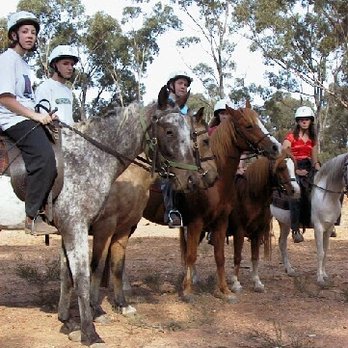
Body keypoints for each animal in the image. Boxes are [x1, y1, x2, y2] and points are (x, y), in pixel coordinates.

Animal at [230, 152, 294, 294]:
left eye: (294, 166)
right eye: (281, 167)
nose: (294, 190)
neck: (251, 195)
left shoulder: (257, 232)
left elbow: (255, 256)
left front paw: (257, 282)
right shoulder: (239, 231)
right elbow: (238, 256)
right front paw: (236, 283)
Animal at [272, 153, 348, 282]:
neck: (326, 196)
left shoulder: (328, 228)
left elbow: (325, 251)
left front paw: (324, 274)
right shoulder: (318, 228)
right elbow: (320, 252)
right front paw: (320, 278)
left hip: (284, 223)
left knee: (282, 243)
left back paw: (289, 270)